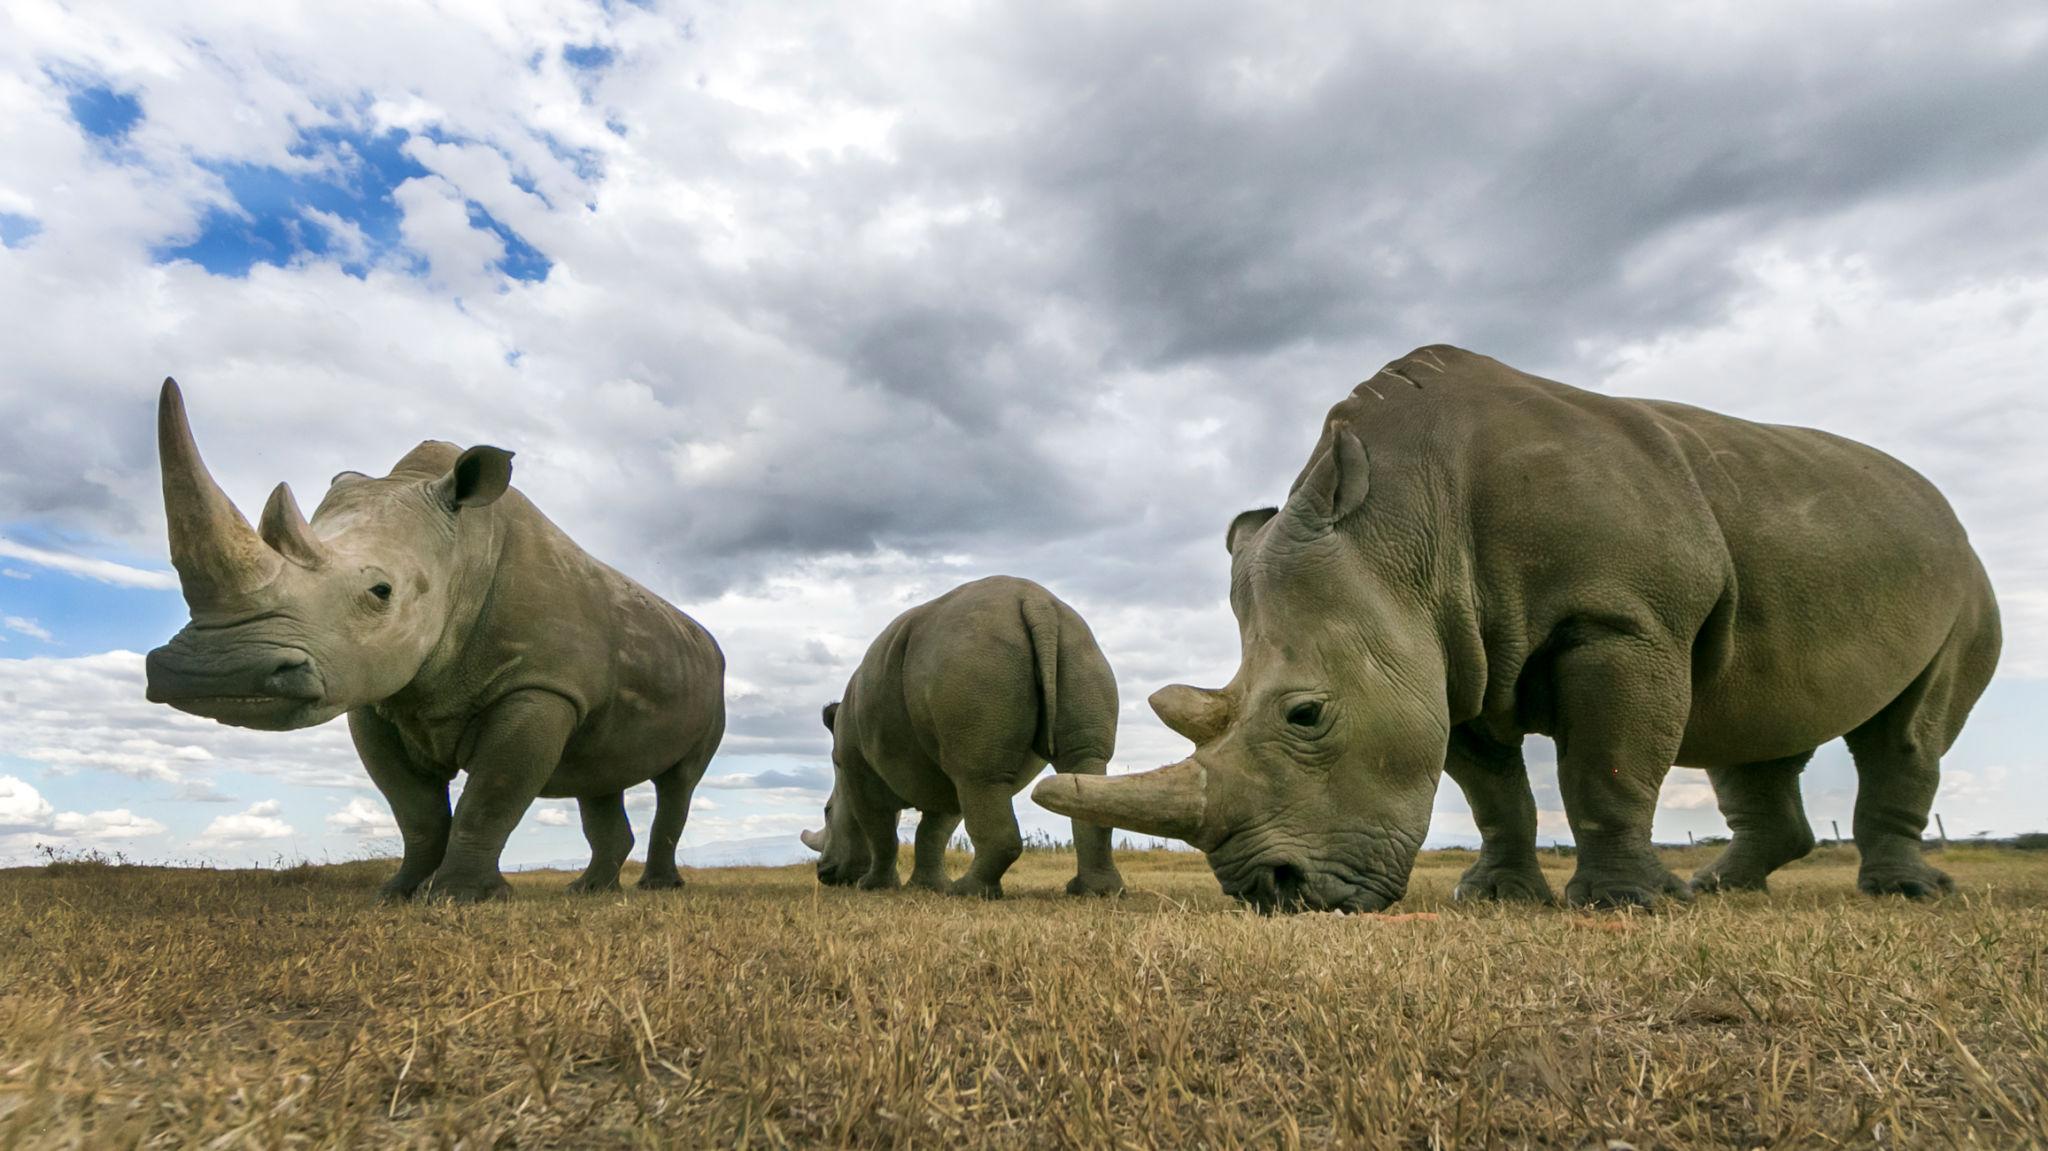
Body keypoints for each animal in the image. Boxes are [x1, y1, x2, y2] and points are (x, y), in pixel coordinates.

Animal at [142, 380, 726, 902]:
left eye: (381, 591)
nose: (215, 672)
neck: (461, 551)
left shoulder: (540, 685)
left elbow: (488, 799)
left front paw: (461, 897)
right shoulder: (377, 692)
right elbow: (415, 810)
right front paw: (397, 893)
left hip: (711, 676)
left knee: (678, 782)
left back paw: (657, 889)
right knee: (599, 775)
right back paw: (589, 891)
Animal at [802, 576, 1125, 898]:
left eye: (827, 811)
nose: (823, 874)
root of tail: (1037, 603)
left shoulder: (857, 770)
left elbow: (881, 831)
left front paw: (873, 886)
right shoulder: (941, 774)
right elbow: (932, 832)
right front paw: (927, 887)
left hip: (971, 660)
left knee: (980, 775)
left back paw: (968, 891)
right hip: (1076, 644)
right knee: (1082, 762)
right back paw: (1096, 891)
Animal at [1036, 346, 2001, 911]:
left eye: (1306, 715)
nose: (1271, 892)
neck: (1400, 524)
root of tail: (1943, 508)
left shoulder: (1621, 618)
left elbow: (1605, 767)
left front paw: (1623, 906)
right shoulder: (1447, 652)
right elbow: (1494, 792)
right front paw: (1499, 896)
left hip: (1960, 573)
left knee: (1907, 731)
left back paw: (1903, 895)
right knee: (1753, 723)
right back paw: (1717, 888)